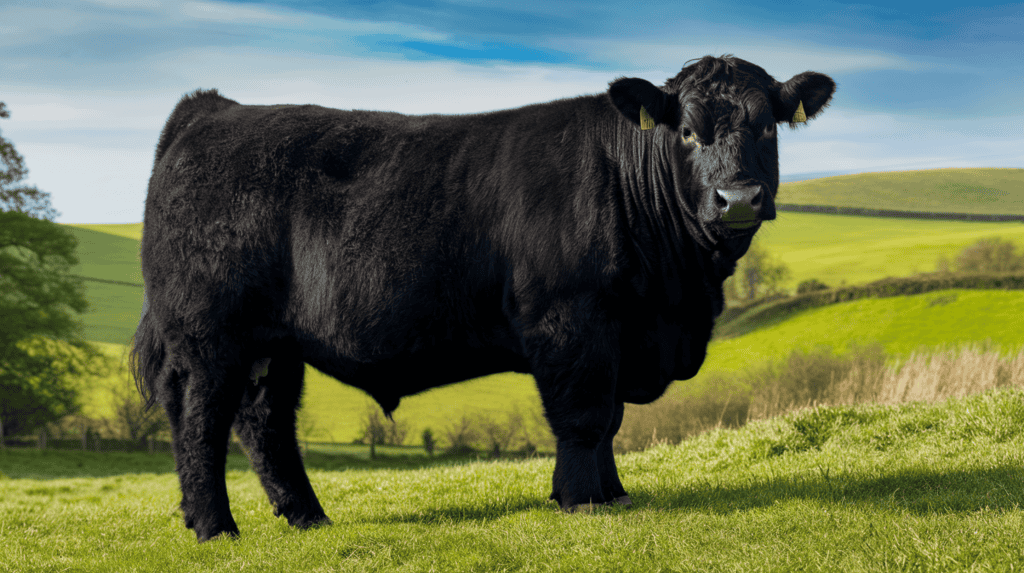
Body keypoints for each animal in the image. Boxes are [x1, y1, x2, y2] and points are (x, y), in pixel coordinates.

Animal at [132, 55, 835, 541]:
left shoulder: (617, 332)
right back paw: (214, 527)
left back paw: (307, 517)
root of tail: (212, 109)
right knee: (199, 421)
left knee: (265, 421)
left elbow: (609, 418)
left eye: (768, 127)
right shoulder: (569, 319)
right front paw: (580, 500)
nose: (737, 199)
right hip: (207, 335)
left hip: (274, 344)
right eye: (686, 132)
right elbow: (583, 415)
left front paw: (614, 494)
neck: (676, 296)